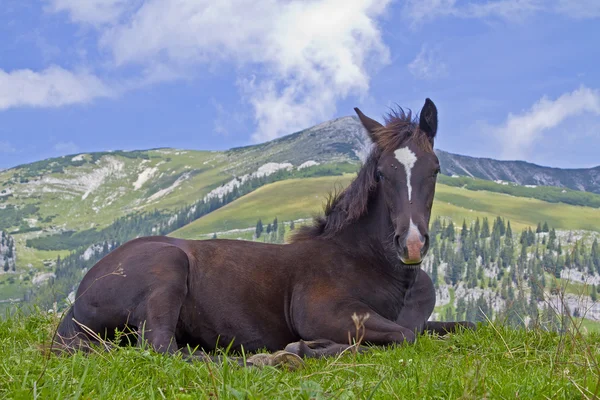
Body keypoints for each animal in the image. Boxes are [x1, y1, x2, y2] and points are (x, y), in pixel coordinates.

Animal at [57, 99, 478, 366]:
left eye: (435, 168)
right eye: (381, 174)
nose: (411, 244)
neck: (378, 268)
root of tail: (78, 297)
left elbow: (464, 326)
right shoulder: (324, 313)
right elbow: (401, 336)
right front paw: (305, 349)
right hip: (168, 268)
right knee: (164, 349)